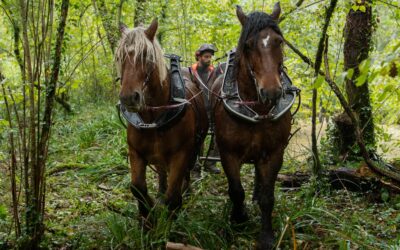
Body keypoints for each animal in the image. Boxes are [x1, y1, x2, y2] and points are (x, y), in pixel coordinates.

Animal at [115, 19, 208, 223]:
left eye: (146, 56)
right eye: (119, 57)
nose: (128, 98)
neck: (153, 118)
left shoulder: (181, 154)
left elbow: (173, 196)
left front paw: (168, 217)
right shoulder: (136, 152)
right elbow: (137, 187)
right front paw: (147, 214)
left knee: (186, 173)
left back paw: (186, 192)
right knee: (161, 171)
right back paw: (159, 192)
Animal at [211, 2, 292, 249]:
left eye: (279, 41)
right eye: (247, 45)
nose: (271, 91)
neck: (259, 110)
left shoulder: (274, 153)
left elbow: (268, 196)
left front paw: (266, 235)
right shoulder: (228, 153)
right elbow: (236, 191)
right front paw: (239, 219)